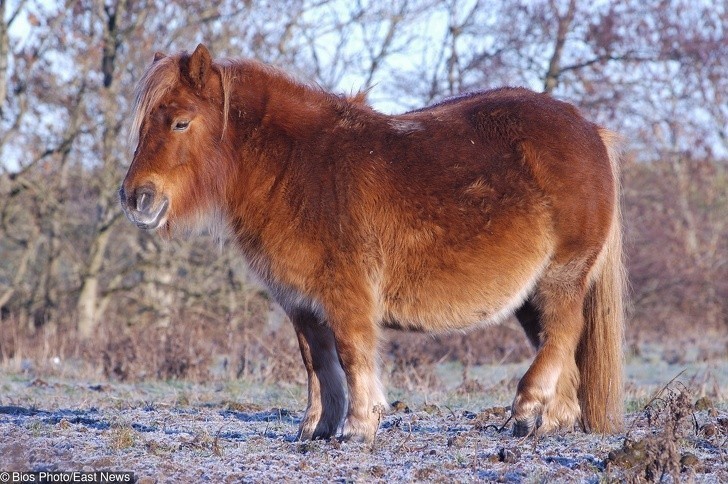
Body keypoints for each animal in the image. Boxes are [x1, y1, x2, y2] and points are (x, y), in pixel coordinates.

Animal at [119, 44, 624, 442]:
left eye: (181, 123)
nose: (135, 198)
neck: (296, 168)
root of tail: (589, 129)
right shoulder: (301, 302)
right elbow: (316, 362)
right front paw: (315, 429)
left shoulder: (346, 294)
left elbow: (352, 353)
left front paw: (360, 426)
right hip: (529, 297)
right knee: (561, 350)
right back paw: (553, 423)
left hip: (560, 277)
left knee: (562, 334)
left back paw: (526, 411)